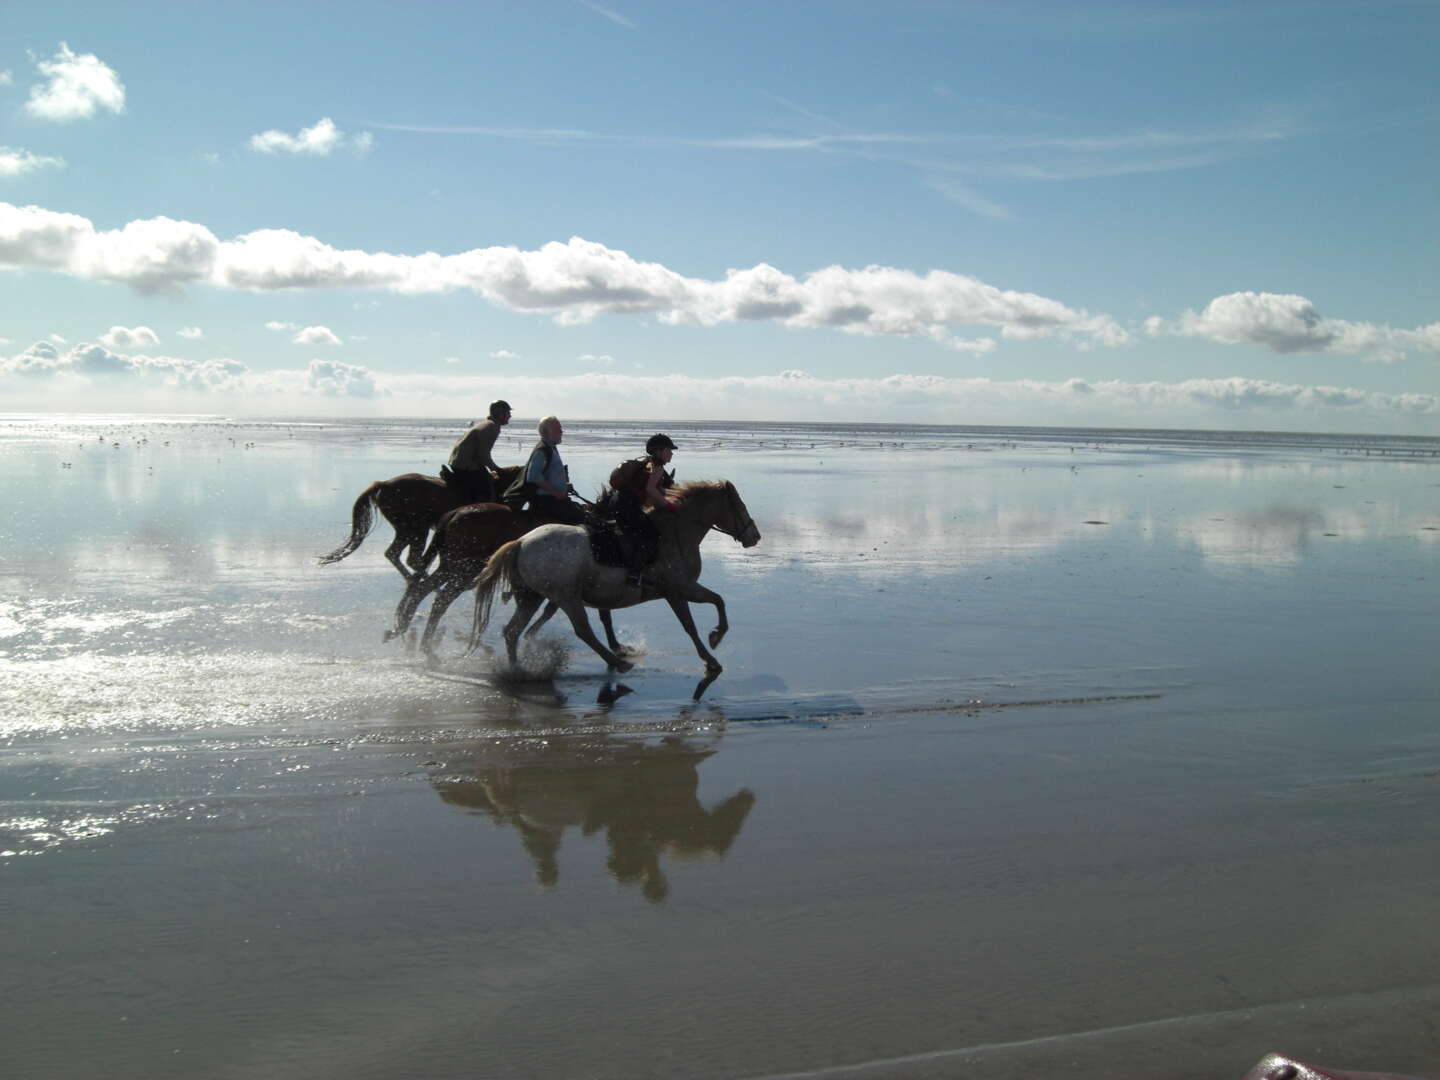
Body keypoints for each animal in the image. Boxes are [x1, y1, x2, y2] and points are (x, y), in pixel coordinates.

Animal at [472, 480, 766, 676]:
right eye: (740, 506)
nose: (755, 536)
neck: (674, 533)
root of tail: (521, 542)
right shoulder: (679, 590)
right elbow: (699, 617)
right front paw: (712, 649)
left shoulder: (681, 590)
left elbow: (715, 602)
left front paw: (714, 642)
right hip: (566, 597)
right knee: (582, 631)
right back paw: (618, 663)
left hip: (532, 597)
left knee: (512, 631)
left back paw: (517, 670)